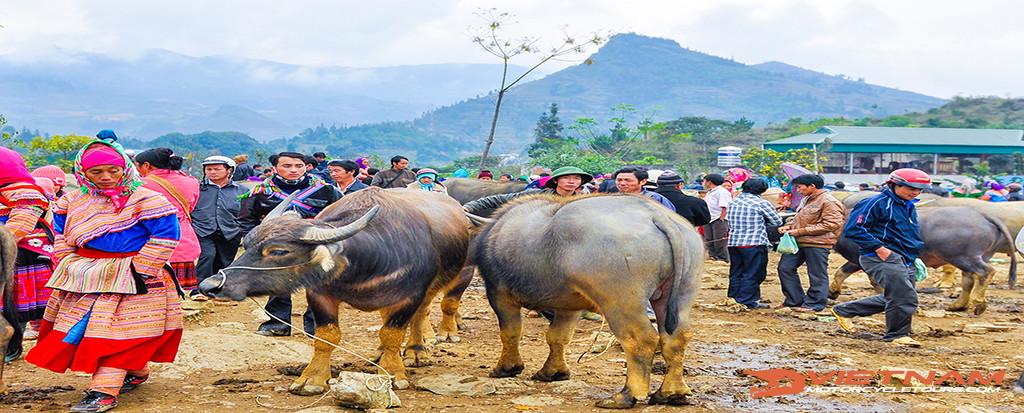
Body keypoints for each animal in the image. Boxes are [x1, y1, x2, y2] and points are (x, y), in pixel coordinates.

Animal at [200, 187, 471, 395]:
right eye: (247, 245)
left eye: (278, 251)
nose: (209, 285)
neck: (369, 263)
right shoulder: (319, 294)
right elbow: (326, 336)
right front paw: (312, 379)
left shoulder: (410, 296)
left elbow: (393, 334)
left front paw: (394, 373)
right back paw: (379, 354)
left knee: (420, 315)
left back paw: (416, 352)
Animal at [473, 194, 704, 409]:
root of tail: (656, 214)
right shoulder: (569, 307)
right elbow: (558, 337)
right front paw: (553, 372)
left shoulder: (499, 294)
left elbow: (511, 332)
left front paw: (506, 368)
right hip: (681, 293)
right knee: (677, 337)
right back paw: (671, 393)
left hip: (621, 301)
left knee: (641, 340)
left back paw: (625, 396)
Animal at [831, 209, 1015, 315]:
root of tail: (984, 215)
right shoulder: (856, 261)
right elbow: (841, 272)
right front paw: (833, 292)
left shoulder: (862, 259)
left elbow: (877, 283)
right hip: (979, 256)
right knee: (969, 280)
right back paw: (958, 305)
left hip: (963, 257)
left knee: (985, 272)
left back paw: (978, 304)